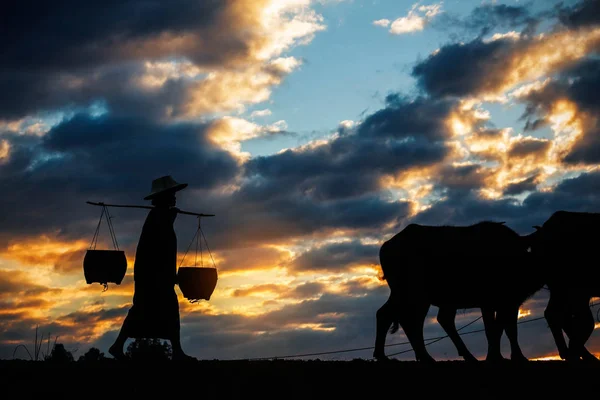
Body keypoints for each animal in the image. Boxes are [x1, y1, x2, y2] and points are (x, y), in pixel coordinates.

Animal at [376, 220, 544, 364]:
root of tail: (387, 246)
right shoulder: (490, 302)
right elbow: (494, 329)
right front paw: (496, 357)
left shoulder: (511, 303)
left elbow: (507, 329)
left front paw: (515, 356)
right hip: (414, 295)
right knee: (409, 320)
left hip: (409, 296)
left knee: (393, 315)